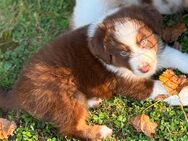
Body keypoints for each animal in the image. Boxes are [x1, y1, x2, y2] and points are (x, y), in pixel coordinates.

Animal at [1, 4, 188, 140]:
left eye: (143, 41)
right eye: (123, 53)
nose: (145, 68)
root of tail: (17, 91)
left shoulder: (157, 53)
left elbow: (176, 56)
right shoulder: (126, 81)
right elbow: (158, 87)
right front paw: (184, 94)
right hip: (59, 90)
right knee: (70, 127)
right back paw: (100, 132)